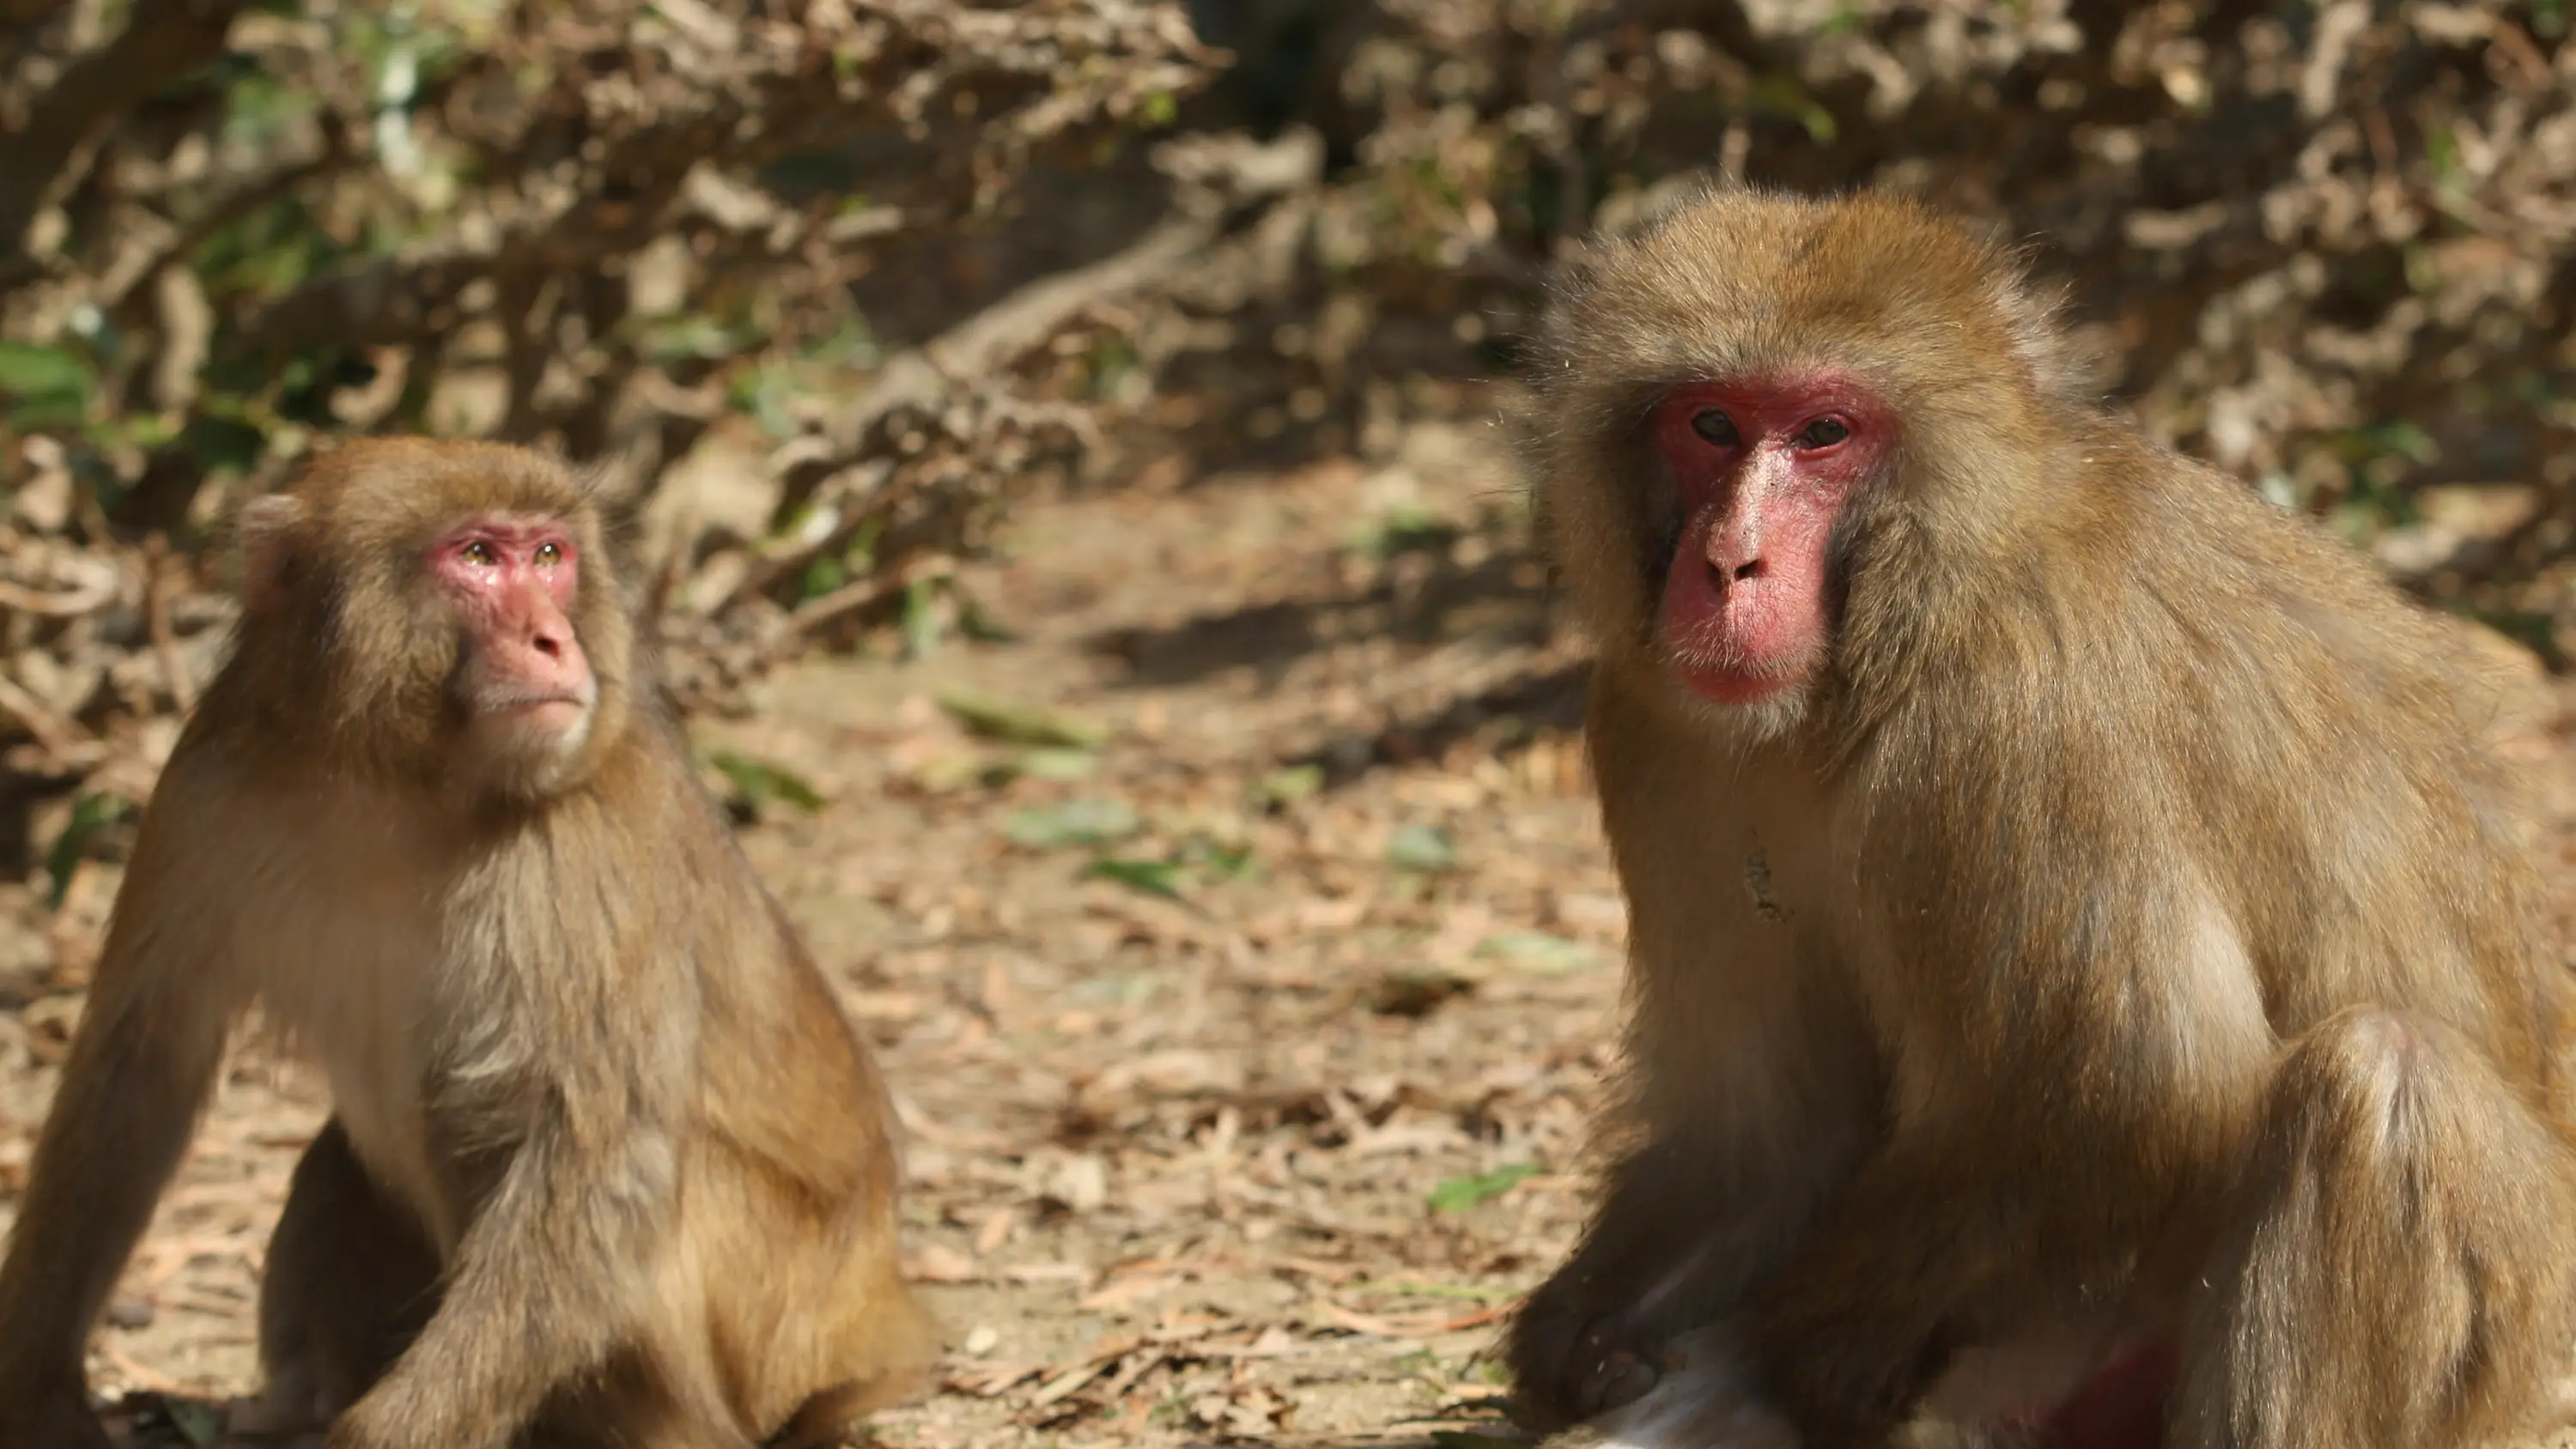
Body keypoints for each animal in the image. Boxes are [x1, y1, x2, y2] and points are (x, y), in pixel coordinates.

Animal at [0, 438, 939, 1449]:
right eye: (480, 556)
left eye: (550, 556)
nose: (554, 640)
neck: (400, 784)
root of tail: (873, 1302)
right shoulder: (208, 777)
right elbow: (137, 1069)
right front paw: (37, 1388)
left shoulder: (583, 836)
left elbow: (597, 1160)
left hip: (760, 1317)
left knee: (481, 1116)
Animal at [1503, 186, 2576, 1449]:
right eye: (1711, 424)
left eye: (1824, 433)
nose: (1731, 563)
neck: (1878, 647)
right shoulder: (1654, 736)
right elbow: (1766, 1132)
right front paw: (1580, 1335)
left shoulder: (2023, 705)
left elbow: (2153, 1077)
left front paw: (1807, 1339)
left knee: (2385, 1080)